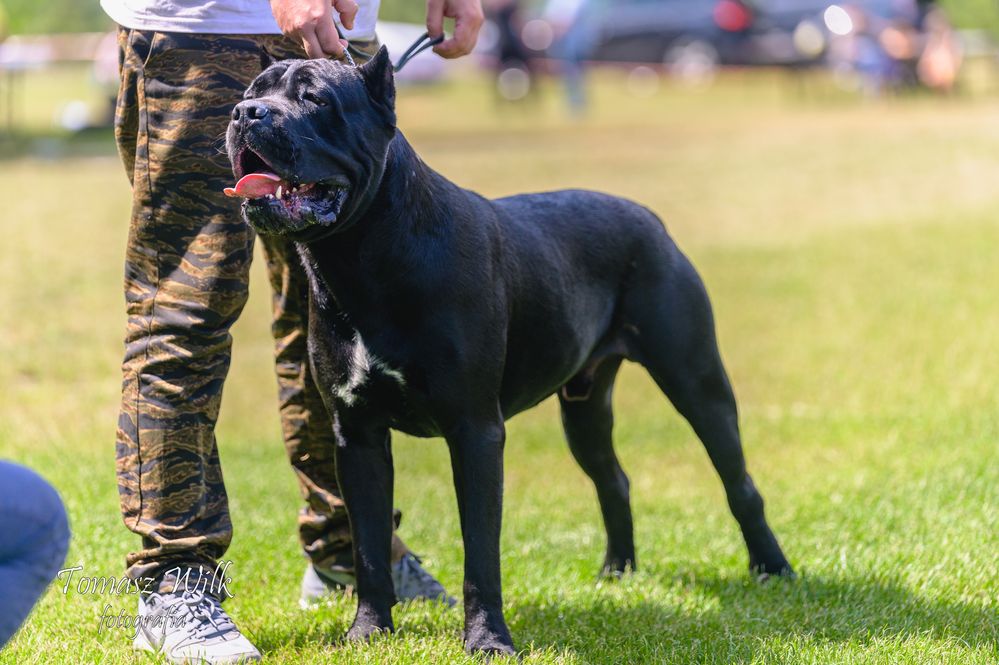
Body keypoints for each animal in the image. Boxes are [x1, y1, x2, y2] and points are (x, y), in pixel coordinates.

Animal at [227, 49, 796, 656]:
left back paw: (772, 568)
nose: (245, 113)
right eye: (252, 91)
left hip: (696, 381)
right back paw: (616, 572)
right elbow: (370, 546)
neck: (360, 258)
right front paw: (368, 631)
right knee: (613, 479)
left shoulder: (475, 431)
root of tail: (648, 217)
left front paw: (487, 641)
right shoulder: (357, 436)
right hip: (584, 410)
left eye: (315, 98)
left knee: (739, 482)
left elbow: (480, 551)